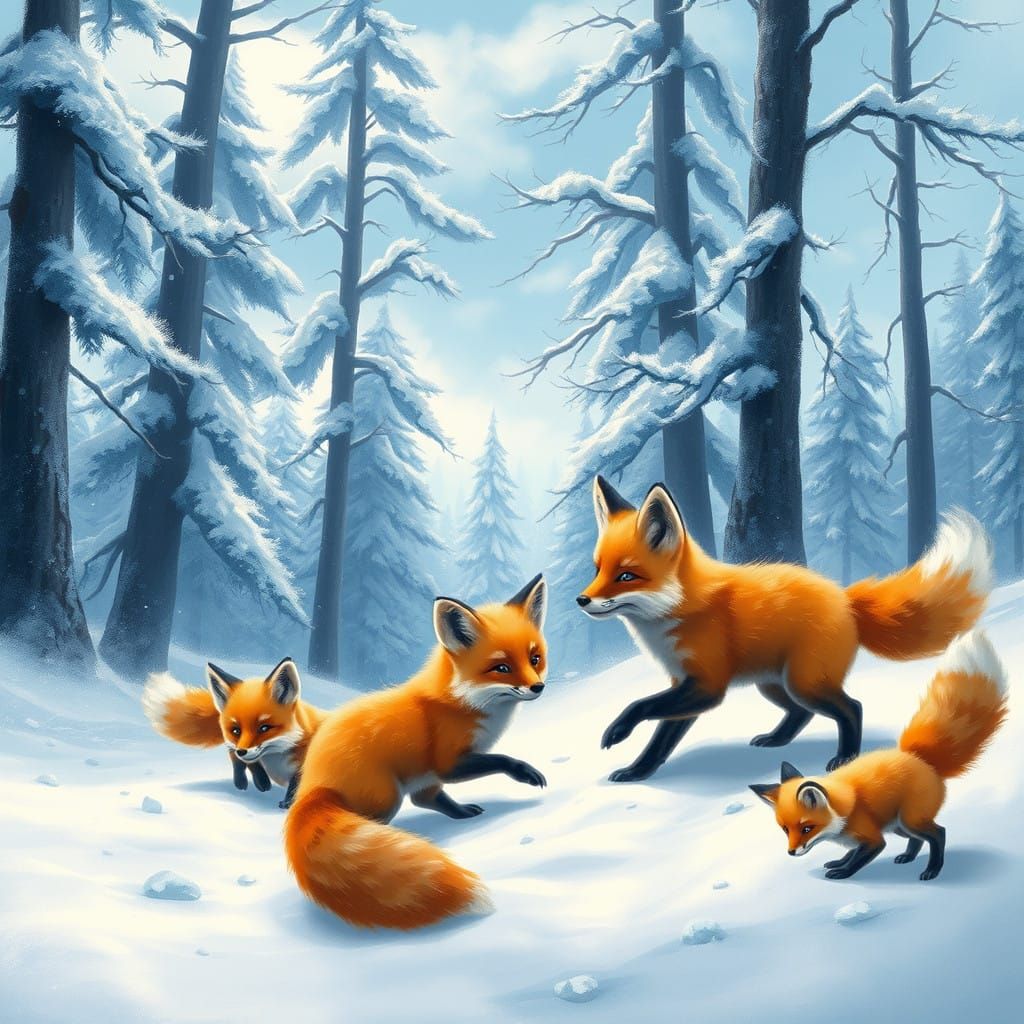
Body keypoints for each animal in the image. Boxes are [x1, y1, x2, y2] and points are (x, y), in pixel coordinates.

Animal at [143, 658, 325, 808]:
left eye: (264, 728)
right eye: (236, 730)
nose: (242, 751)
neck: (277, 757)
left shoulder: (304, 766)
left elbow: (297, 786)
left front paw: (289, 803)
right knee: (235, 758)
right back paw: (250, 782)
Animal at [284, 574, 549, 930]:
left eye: (534, 659)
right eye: (502, 667)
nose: (538, 687)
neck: (463, 703)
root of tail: (312, 785)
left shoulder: (438, 771)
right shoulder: (448, 762)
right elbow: (500, 760)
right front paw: (524, 771)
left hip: (416, 780)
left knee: (426, 799)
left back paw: (461, 812)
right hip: (387, 796)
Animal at [578, 475, 993, 782]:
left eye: (626, 576)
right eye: (598, 569)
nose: (582, 600)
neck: (680, 609)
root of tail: (845, 598)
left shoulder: (706, 685)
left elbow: (641, 705)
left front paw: (618, 731)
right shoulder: (685, 685)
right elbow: (661, 740)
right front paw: (637, 771)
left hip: (804, 683)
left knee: (852, 707)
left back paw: (845, 757)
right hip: (774, 684)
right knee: (800, 714)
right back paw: (777, 739)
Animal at [750, 629, 1008, 881]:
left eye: (806, 828)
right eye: (785, 829)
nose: (791, 852)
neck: (844, 809)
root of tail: (920, 758)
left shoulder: (874, 839)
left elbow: (859, 858)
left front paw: (843, 872)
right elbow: (850, 852)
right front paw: (839, 862)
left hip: (910, 820)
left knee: (938, 833)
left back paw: (932, 870)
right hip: (898, 826)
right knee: (917, 840)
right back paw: (907, 857)